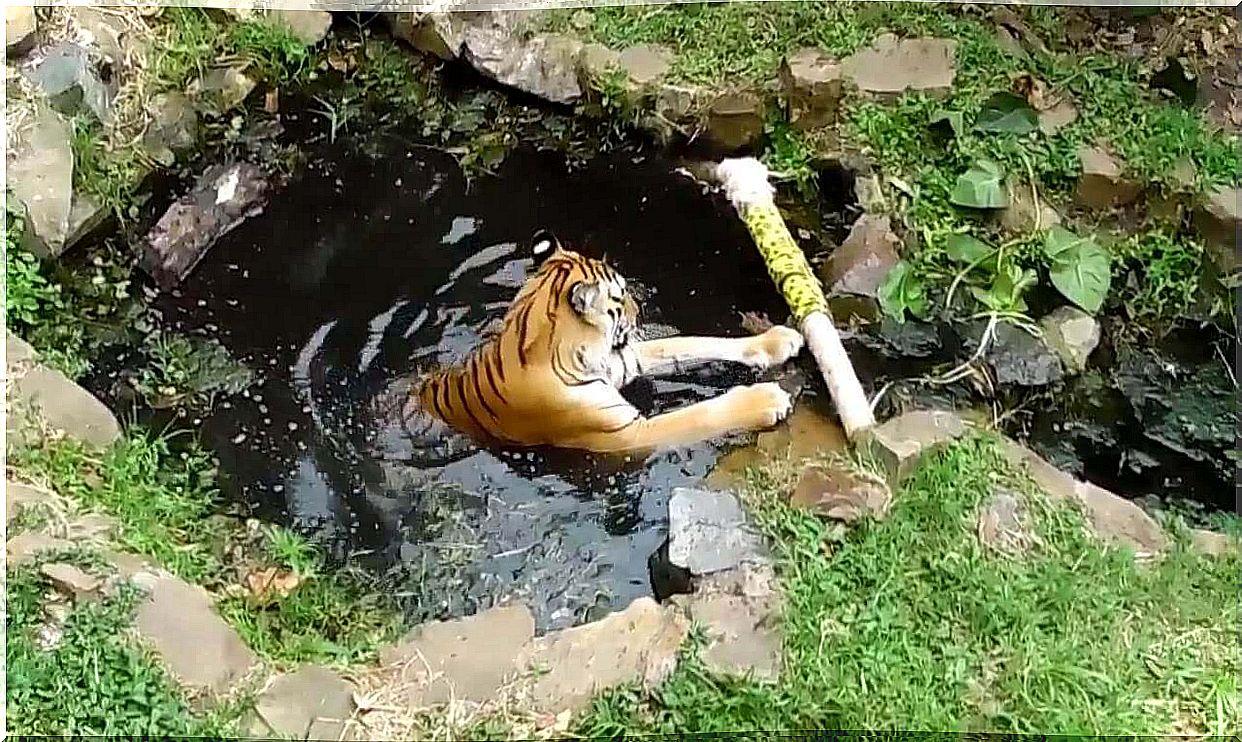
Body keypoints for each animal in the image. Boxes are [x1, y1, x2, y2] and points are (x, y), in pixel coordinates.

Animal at [407, 228, 804, 454]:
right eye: (620, 295)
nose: (639, 308)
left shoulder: (624, 358)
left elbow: (695, 342)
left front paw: (778, 340)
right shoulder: (629, 433)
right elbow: (701, 414)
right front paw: (766, 399)